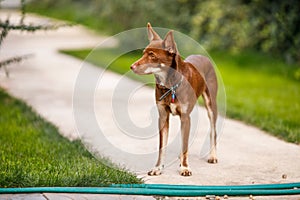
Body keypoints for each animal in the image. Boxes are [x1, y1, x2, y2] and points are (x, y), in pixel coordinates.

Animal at [130, 23, 217, 176]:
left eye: (152, 56)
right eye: (143, 53)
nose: (131, 67)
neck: (170, 85)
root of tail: (203, 57)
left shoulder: (185, 117)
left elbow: (185, 145)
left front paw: (185, 167)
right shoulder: (163, 116)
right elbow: (162, 146)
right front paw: (158, 168)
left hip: (211, 105)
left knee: (213, 132)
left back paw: (212, 155)